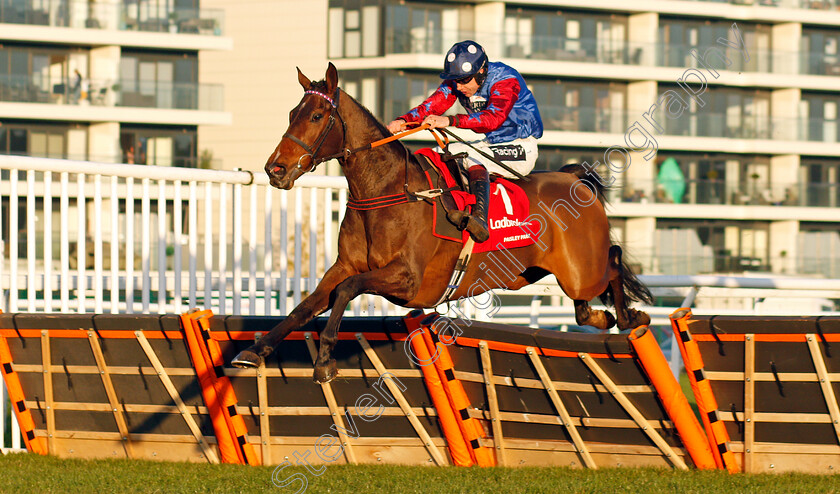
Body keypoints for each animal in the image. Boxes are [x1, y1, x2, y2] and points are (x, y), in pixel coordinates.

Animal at [231, 63, 656, 382]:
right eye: (293, 115)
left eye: (318, 115)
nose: (275, 169)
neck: (387, 191)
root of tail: (575, 178)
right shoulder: (344, 266)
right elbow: (306, 305)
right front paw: (253, 350)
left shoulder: (408, 279)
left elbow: (345, 291)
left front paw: (324, 360)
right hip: (535, 273)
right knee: (586, 302)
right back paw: (602, 315)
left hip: (581, 270)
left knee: (613, 260)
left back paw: (630, 316)